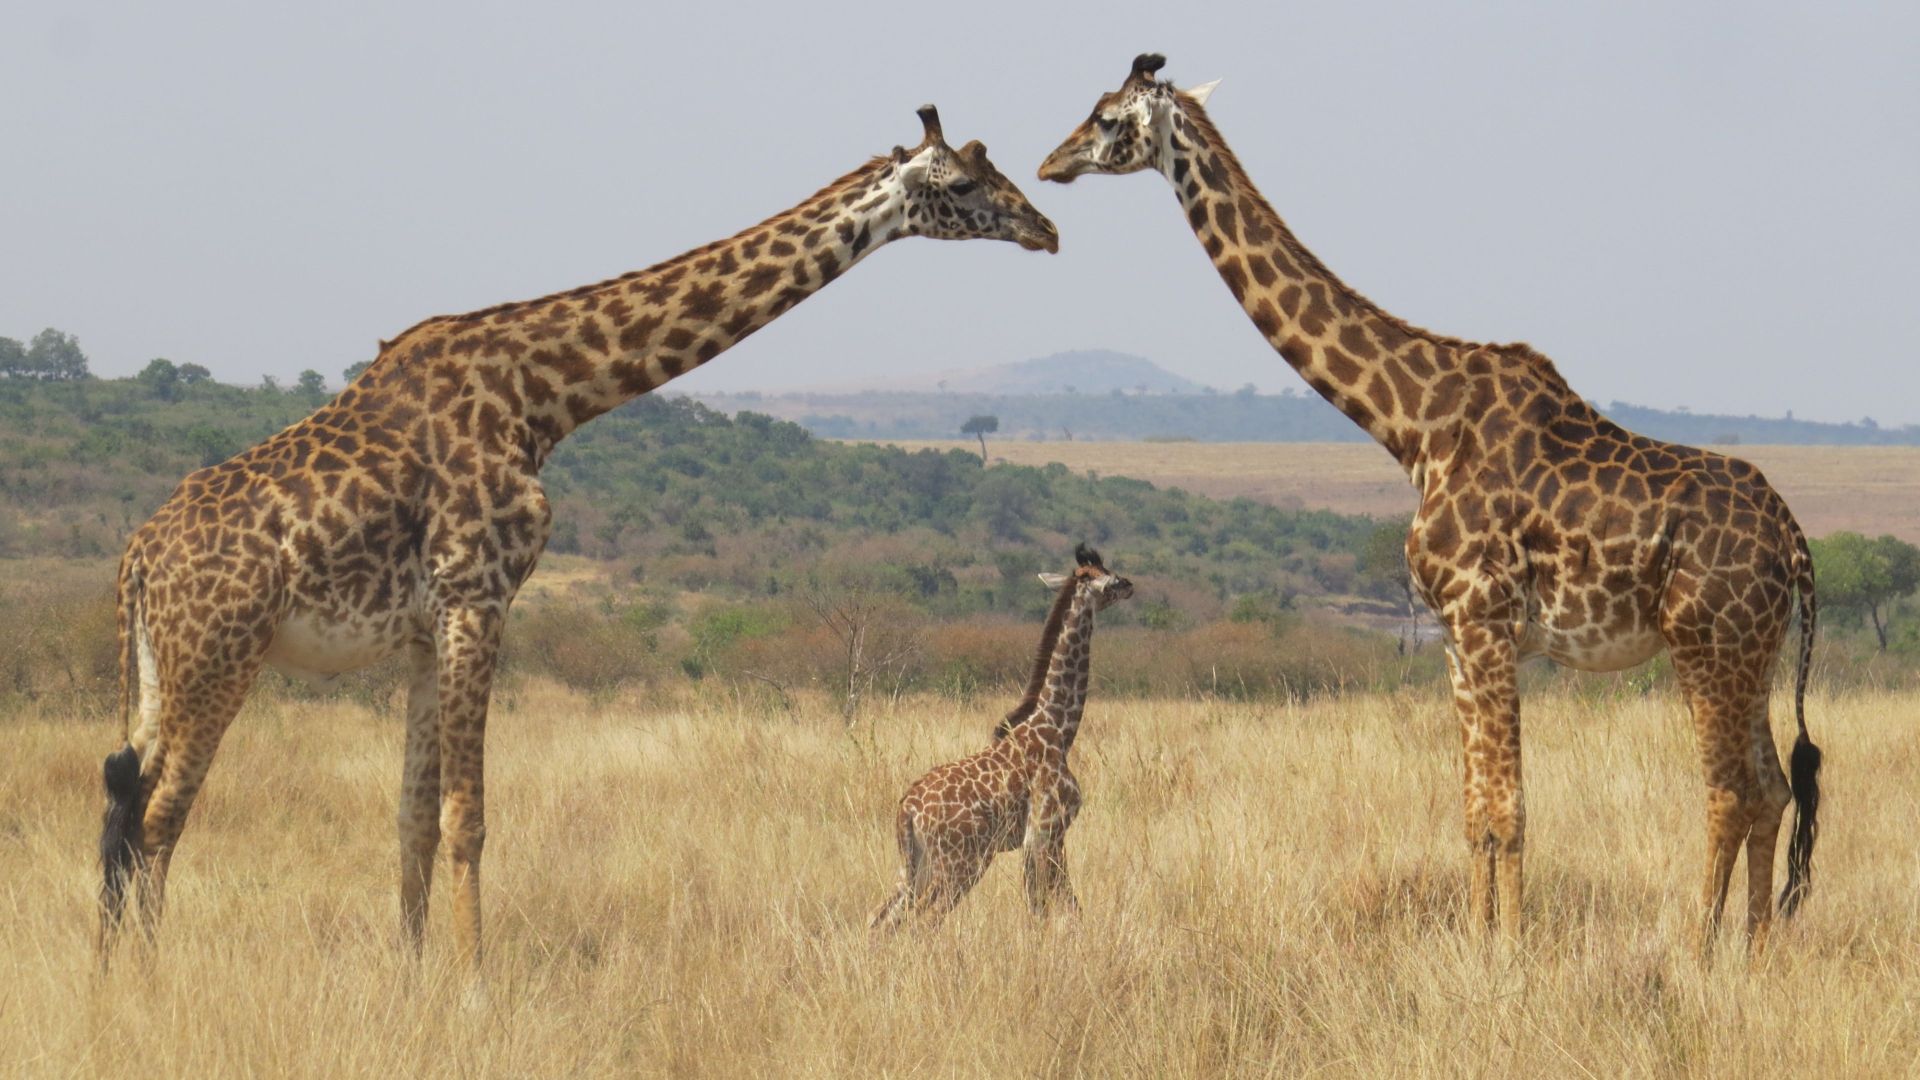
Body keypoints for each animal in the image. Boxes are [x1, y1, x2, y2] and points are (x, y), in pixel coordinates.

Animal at [97, 105, 1059, 960]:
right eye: (965, 184)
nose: (1044, 226)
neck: (543, 394)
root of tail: (139, 562)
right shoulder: (478, 597)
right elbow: (468, 819)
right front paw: (474, 991)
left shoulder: (425, 629)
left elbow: (412, 819)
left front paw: (412, 980)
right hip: (220, 657)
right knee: (160, 817)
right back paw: (150, 979)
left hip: (155, 669)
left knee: (120, 800)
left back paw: (112, 974)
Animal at [867, 541, 1121, 930]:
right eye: (1111, 580)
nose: (1131, 585)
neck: (1058, 728)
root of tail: (907, 809)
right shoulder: (1049, 831)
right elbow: (1063, 905)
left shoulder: (1037, 841)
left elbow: (1041, 906)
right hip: (961, 863)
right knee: (923, 921)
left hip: (914, 867)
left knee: (879, 919)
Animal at [1044, 54, 1820, 945]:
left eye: (1107, 118)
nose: (1050, 163)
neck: (1414, 425)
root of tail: (1795, 540)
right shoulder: (1454, 635)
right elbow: (1476, 810)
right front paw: (1479, 942)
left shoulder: (1485, 620)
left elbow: (1511, 810)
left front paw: (1512, 952)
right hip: (1755, 650)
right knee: (1774, 788)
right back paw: (1755, 948)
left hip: (1706, 644)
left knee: (1730, 791)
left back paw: (1697, 949)